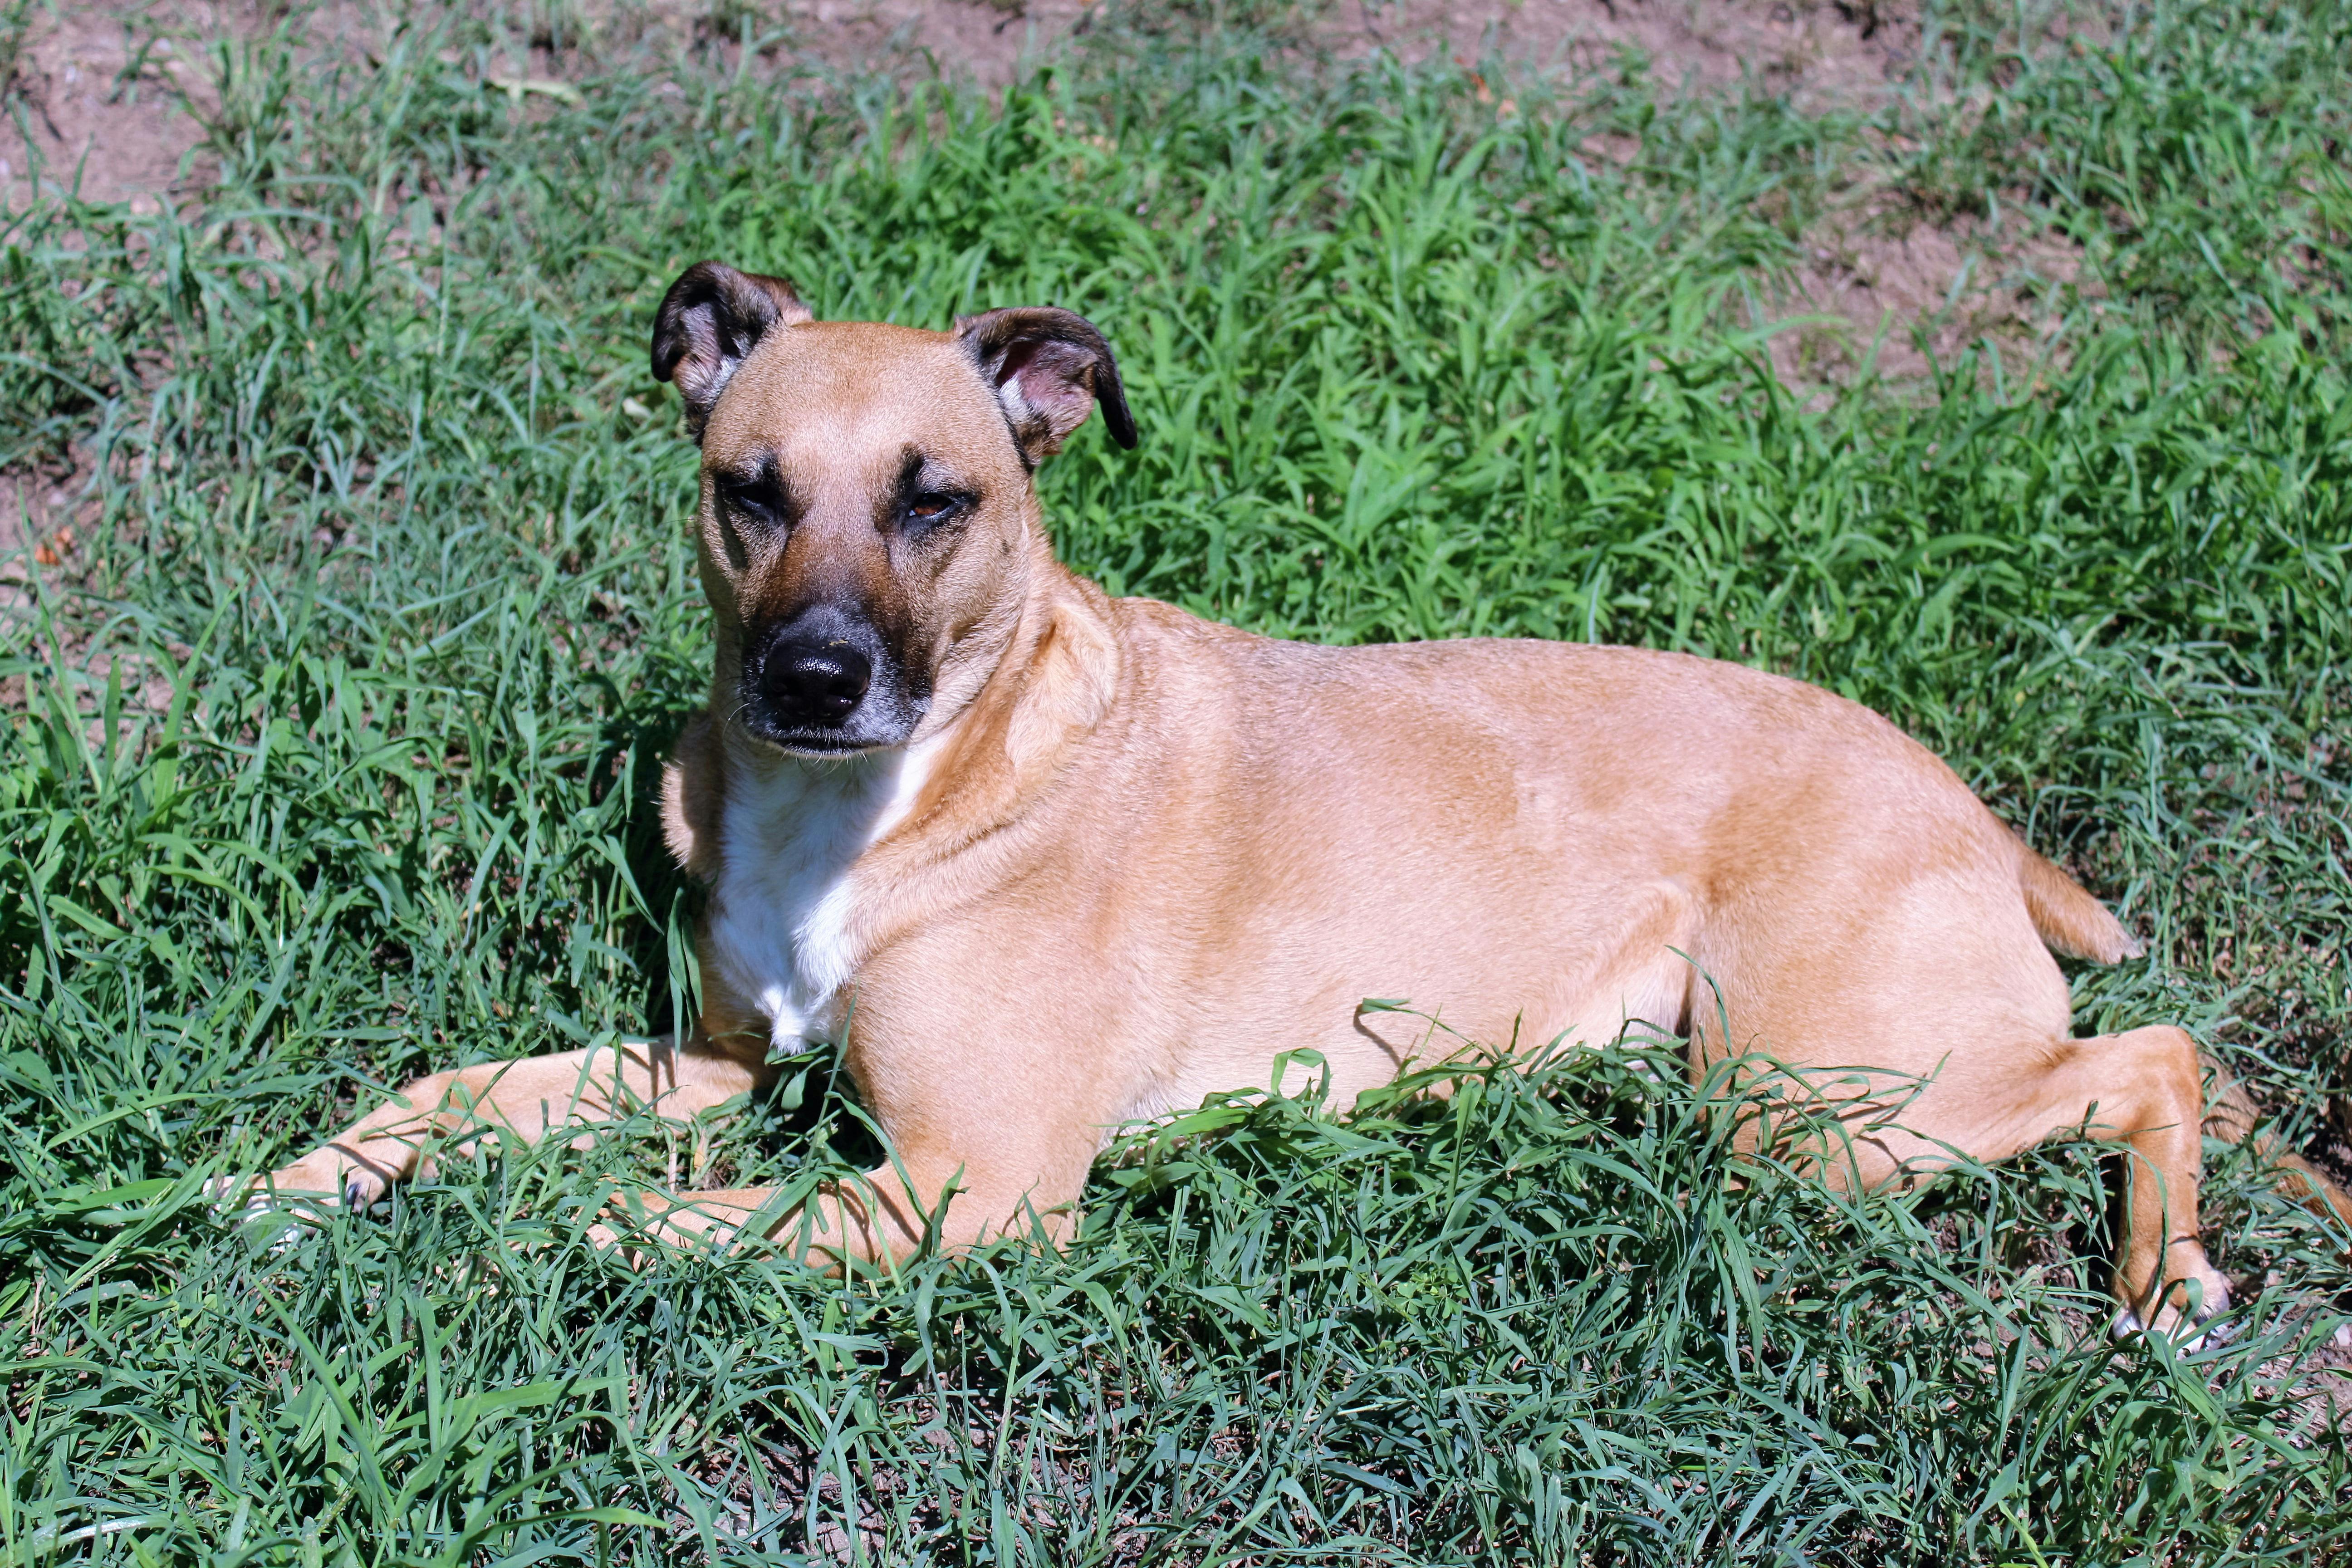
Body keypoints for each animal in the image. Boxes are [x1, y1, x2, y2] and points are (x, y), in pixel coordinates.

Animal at [248, 261, 2342, 1335]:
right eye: (748, 490)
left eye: (939, 500)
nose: (814, 682)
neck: (898, 800)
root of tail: (1970, 808)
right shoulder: (722, 1064)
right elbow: (469, 1097)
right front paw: (300, 1183)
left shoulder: (968, 1189)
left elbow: (632, 1224)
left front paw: (472, 1253)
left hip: (1816, 1110)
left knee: (2151, 1054)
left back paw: (2164, 1273)